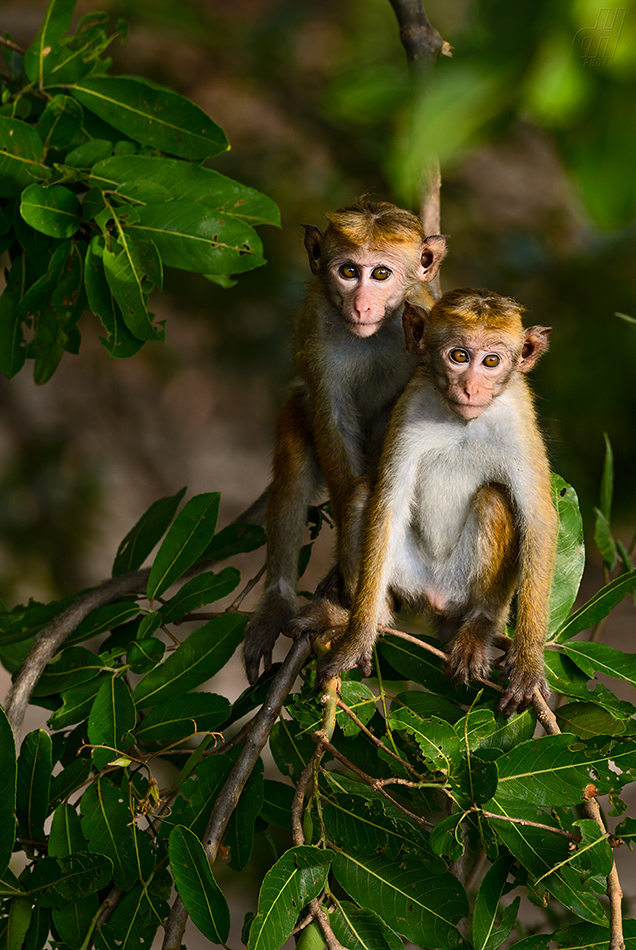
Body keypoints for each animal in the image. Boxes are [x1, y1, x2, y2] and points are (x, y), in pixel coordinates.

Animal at [298, 286, 556, 716]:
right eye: (459, 356)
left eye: (491, 361)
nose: (471, 388)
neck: (462, 420)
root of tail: (435, 600)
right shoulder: (411, 406)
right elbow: (388, 502)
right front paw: (357, 638)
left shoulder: (519, 419)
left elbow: (538, 519)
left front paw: (528, 662)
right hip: (408, 576)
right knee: (363, 494)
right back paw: (368, 619)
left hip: (461, 586)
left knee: (494, 498)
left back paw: (480, 626)